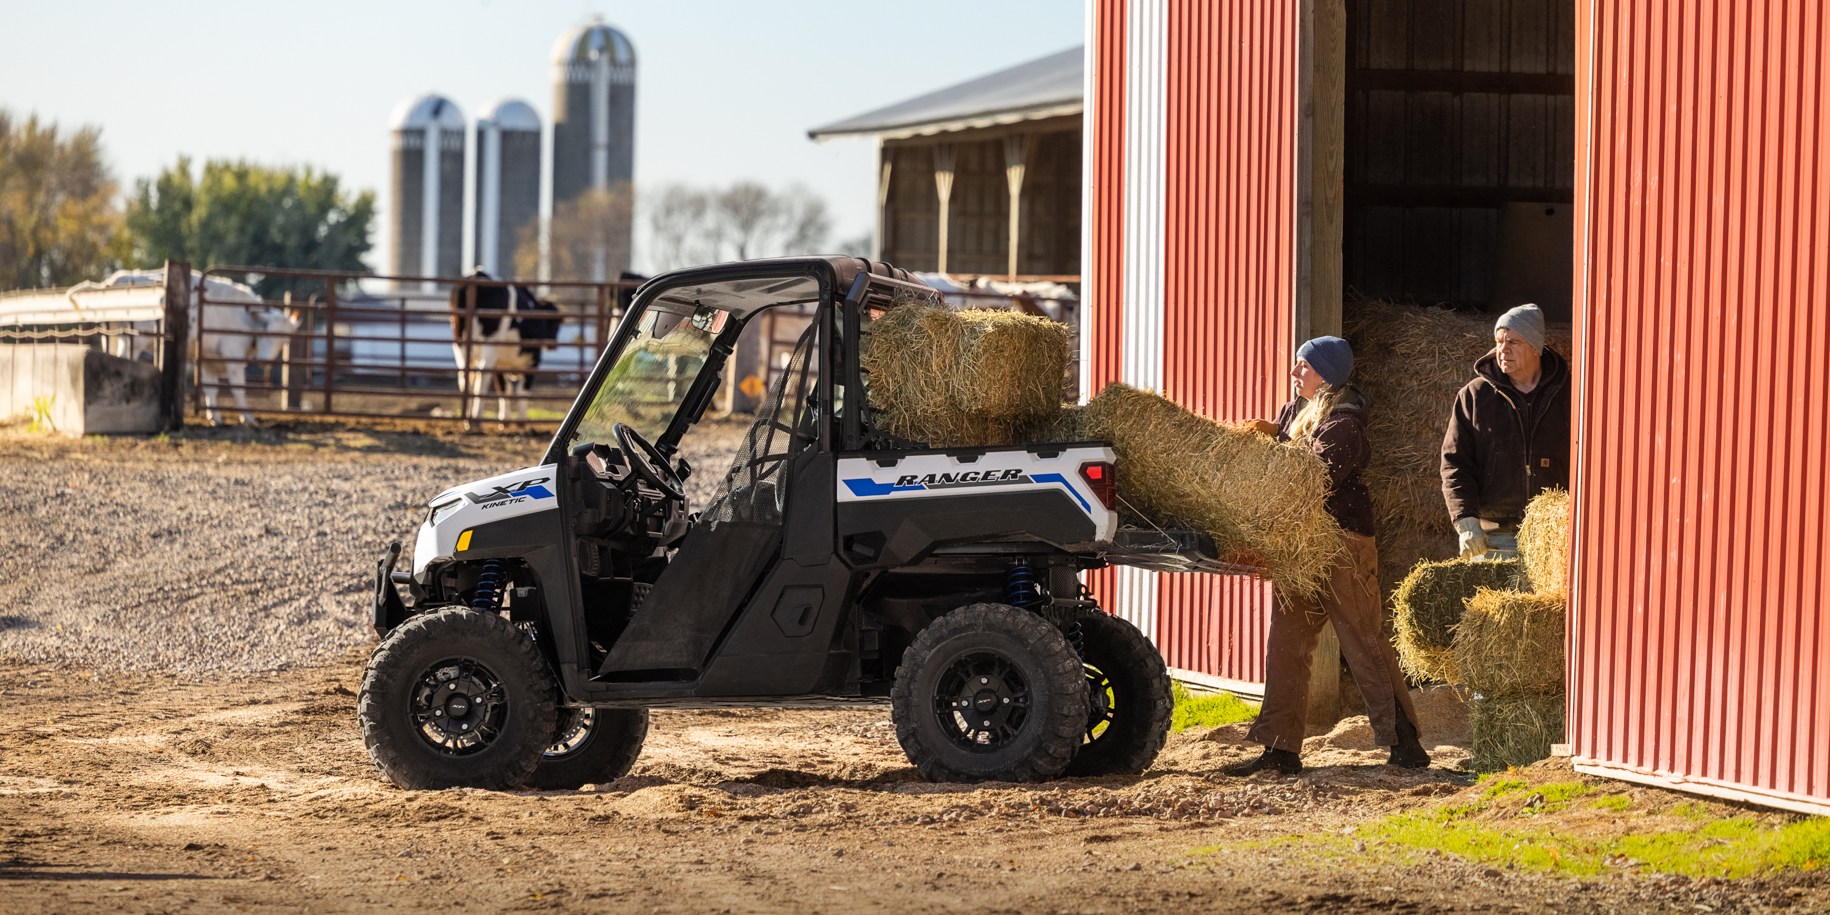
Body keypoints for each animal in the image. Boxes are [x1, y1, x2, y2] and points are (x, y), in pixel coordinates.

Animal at [448, 269, 556, 422]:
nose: (553, 344)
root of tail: (477, 274)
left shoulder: (500, 364)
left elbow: (504, 389)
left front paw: (505, 420)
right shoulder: (532, 362)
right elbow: (522, 391)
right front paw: (521, 421)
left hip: (459, 342)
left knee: (465, 375)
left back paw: (467, 419)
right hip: (490, 343)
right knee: (483, 374)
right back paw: (476, 418)